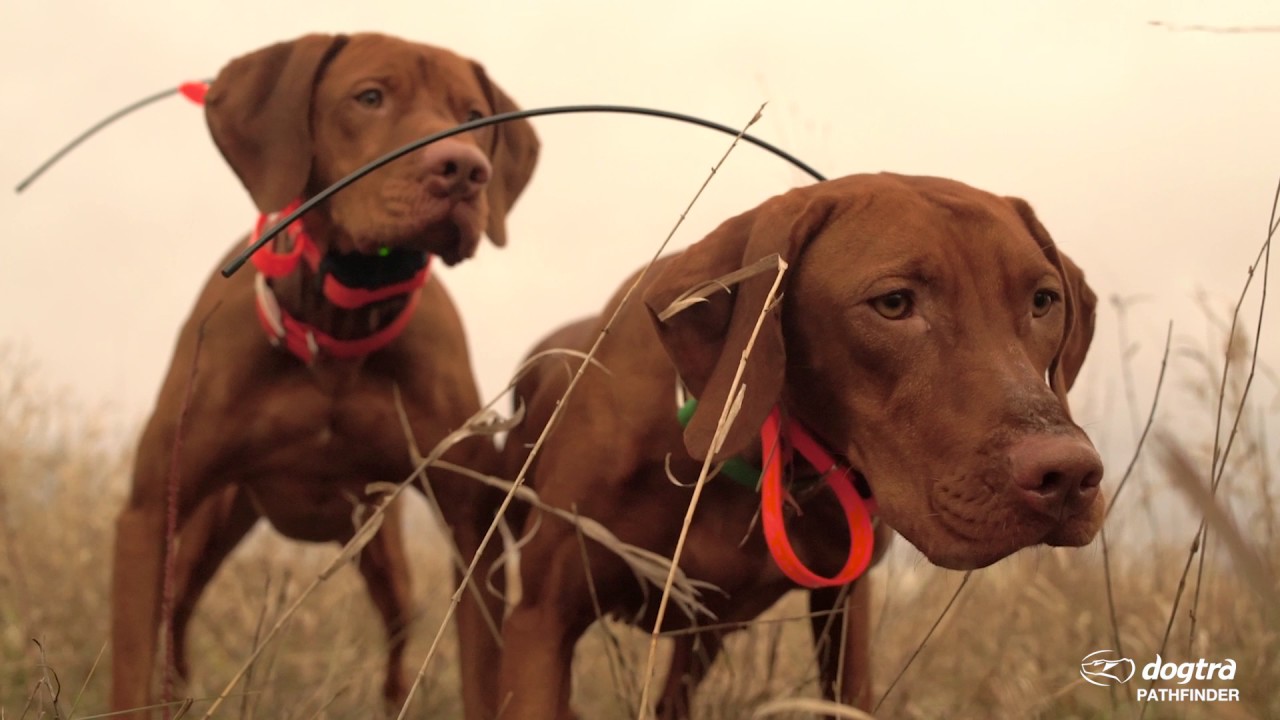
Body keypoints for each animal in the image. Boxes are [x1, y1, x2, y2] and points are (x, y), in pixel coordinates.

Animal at [112, 33, 542, 717]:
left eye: (475, 116)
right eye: (369, 97)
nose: (465, 169)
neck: (341, 318)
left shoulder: (471, 532)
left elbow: (480, 672)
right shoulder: (150, 514)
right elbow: (129, 669)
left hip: (382, 556)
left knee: (395, 658)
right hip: (200, 534)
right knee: (174, 624)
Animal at [499, 170, 1100, 712]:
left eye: (1043, 300)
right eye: (894, 303)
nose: (1069, 475)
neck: (740, 463)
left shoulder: (843, 608)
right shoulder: (541, 620)